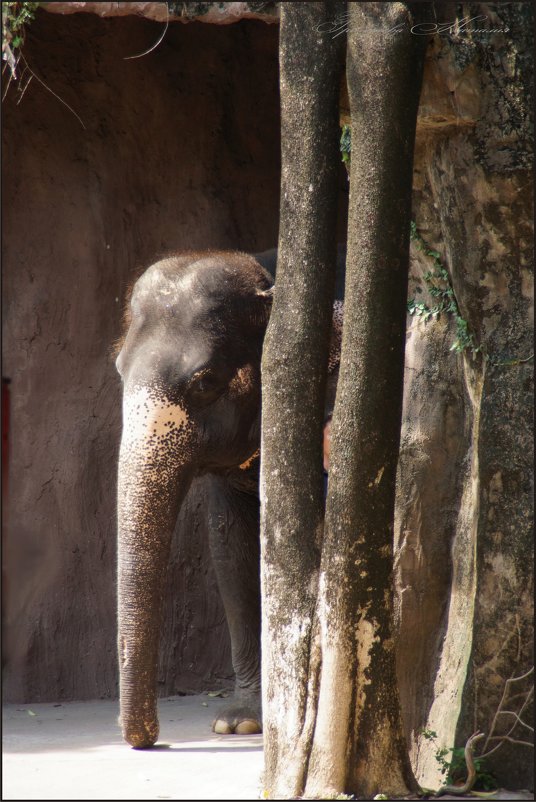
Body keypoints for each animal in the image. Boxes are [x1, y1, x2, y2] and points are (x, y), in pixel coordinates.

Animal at [115, 244, 346, 744]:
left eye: (205, 381)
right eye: (118, 371)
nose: (149, 740)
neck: (271, 275)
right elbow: (231, 548)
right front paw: (239, 723)